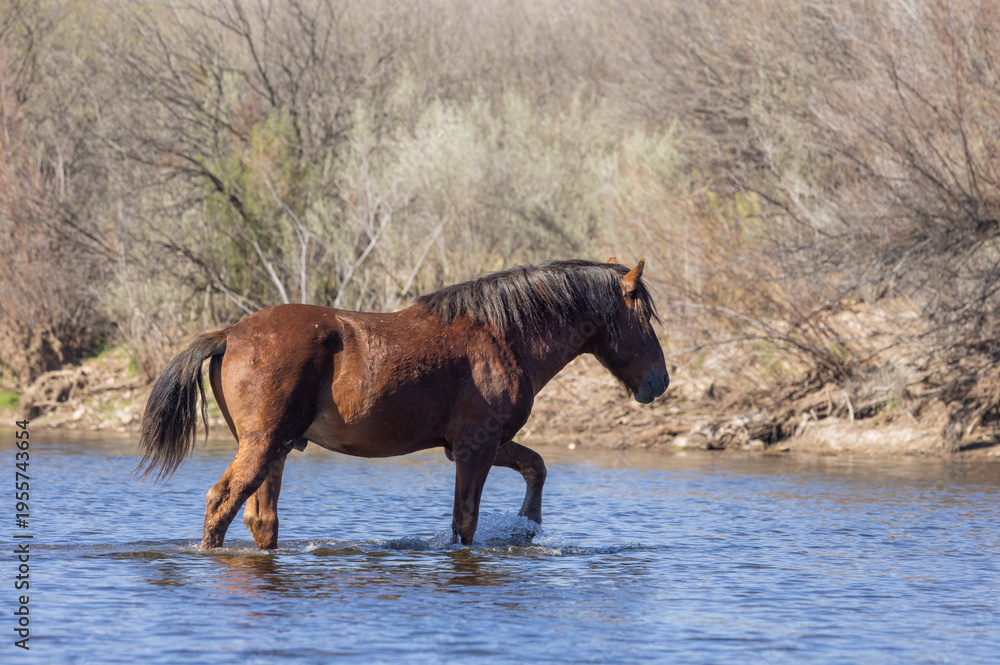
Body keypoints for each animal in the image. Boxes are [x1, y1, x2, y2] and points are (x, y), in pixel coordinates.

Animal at [137, 258, 668, 549]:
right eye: (644, 315)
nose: (659, 381)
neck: (503, 336)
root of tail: (230, 334)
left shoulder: (485, 443)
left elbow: (536, 467)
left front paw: (529, 525)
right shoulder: (474, 447)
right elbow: (465, 521)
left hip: (277, 449)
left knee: (259, 518)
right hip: (262, 445)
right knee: (221, 502)